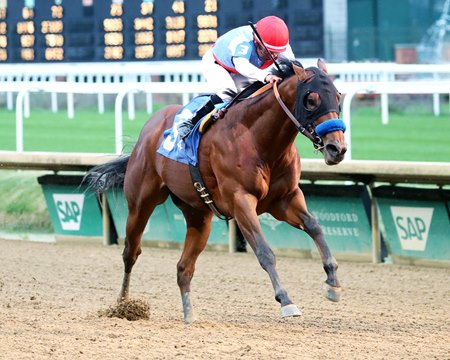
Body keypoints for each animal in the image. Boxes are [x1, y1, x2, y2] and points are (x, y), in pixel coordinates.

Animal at [87, 57, 348, 322]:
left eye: (338, 96)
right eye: (311, 100)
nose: (337, 149)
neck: (259, 140)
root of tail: (149, 128)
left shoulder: (285, 199)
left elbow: (315, 227)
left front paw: (333, 282)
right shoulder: (241, 201)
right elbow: (264, 252)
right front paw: (285, 300)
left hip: (199, 216)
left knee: (184, 268)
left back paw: (189, 315)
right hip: (141, 203)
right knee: (131, 252)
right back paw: (123, 305)